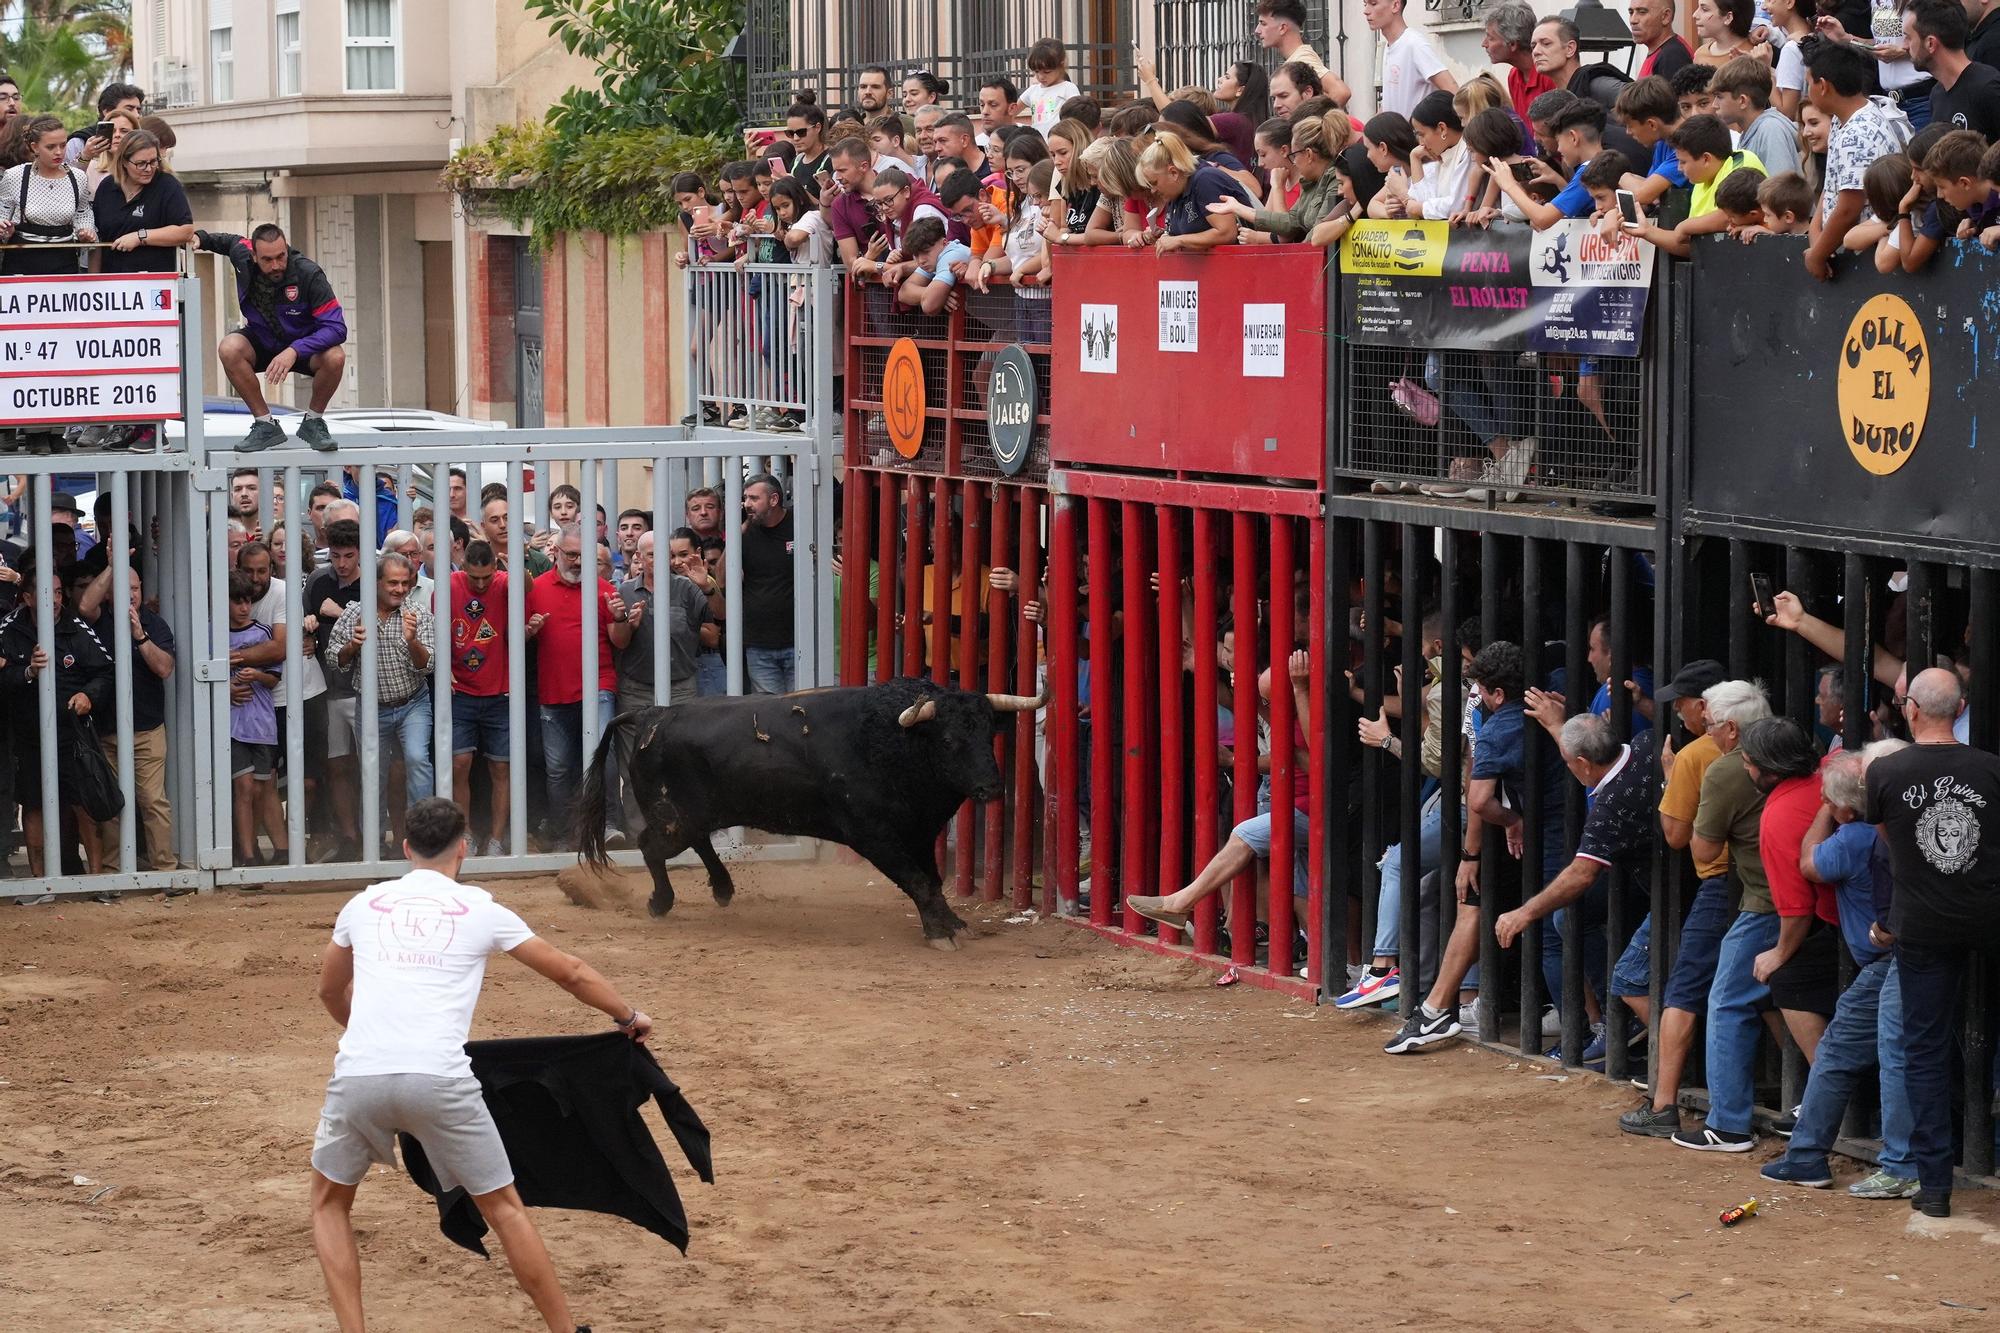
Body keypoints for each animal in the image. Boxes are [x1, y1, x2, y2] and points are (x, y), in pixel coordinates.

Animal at [572, 676, 1048, 944]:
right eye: (948, 740)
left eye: (989, 735)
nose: (991, 786)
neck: (893, 740)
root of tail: (652, 714)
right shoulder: (873, 835)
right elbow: (917, 881)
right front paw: (939, 933)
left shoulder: (918, 833)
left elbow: (931, 880)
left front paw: (952, 923)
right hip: (673, 816)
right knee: (652, 847)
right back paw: (661, 903)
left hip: (699, 814)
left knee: (699, 842)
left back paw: (723, 888)